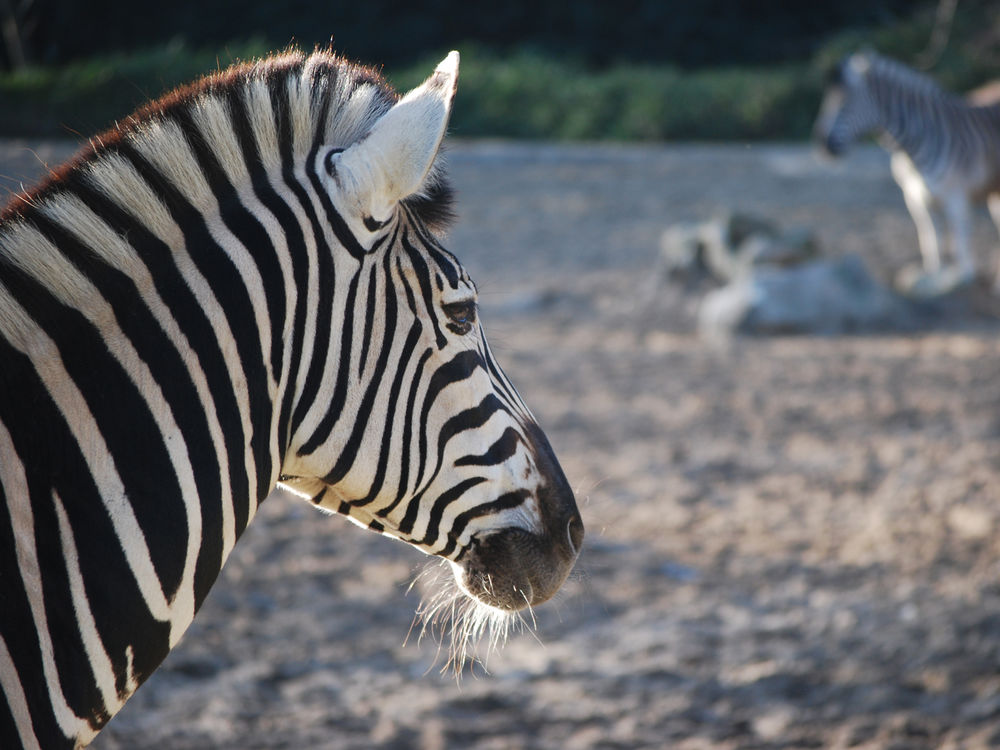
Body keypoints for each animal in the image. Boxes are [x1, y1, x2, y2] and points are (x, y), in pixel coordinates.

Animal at [812, 47, 1000, 296]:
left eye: (845, 102)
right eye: (826, 101)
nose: (821, 145)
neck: (913, 146)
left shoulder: (956, 199)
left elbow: (960, 248)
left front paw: (959, 281)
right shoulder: (916, 199)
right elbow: (931, 242)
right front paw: (931, 279)